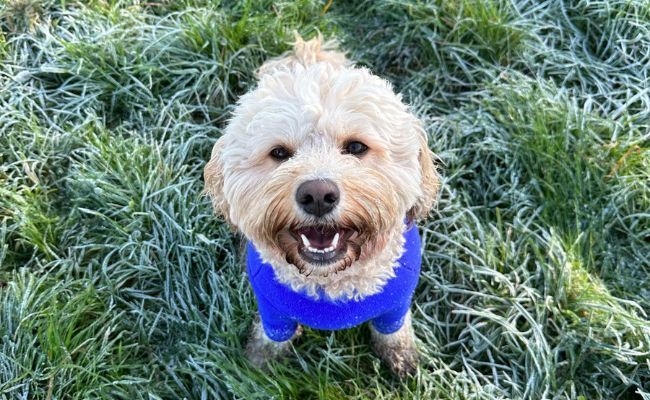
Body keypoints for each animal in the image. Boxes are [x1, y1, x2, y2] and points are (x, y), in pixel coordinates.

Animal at [204, 33, 436, 376]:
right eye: (279, 153)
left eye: (356, 147)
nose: (317, 195)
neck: (330, 283)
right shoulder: (272, 311)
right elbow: (270, 339)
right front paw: (259, 365)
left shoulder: (396, 306)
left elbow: (394, 333)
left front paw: (403, 360)